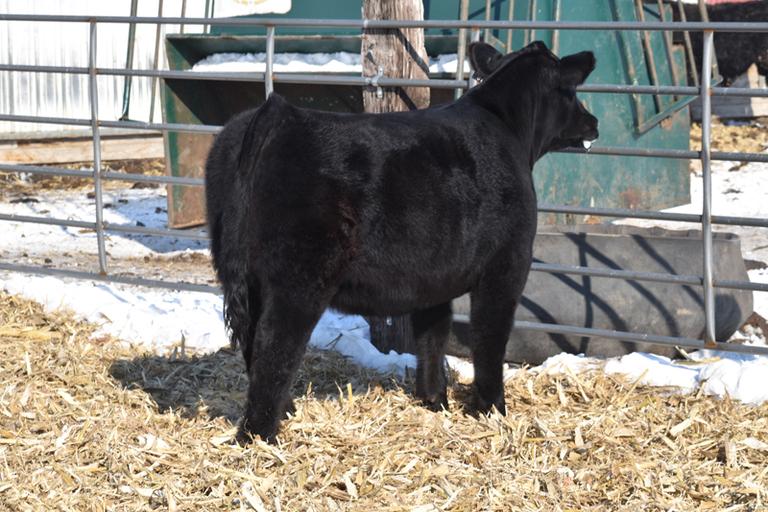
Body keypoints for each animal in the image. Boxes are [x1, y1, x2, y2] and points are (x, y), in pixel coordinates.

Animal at [204, 41, 599, 443]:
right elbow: (490, 338)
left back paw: (285, 412)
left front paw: (435, 399)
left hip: (242, 273)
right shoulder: (507, 266)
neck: (509, 128)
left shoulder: (436, 276)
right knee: (274, 344)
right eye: (571, 91)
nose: (594, 122)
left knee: (252, 341)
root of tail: (277, 114)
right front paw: (490, 409)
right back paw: (260, 436)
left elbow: (432, 335)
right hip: (299, 278)